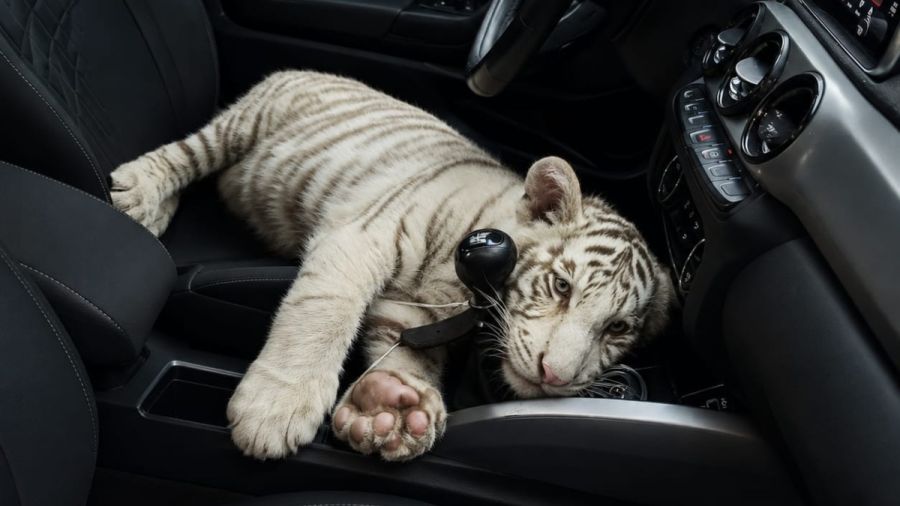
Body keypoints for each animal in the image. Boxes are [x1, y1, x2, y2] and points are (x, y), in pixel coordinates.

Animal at [109, 70, 675, 462]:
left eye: (617, 328)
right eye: (561, 286)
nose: (554, 376)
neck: (463, 288)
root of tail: (313, 69)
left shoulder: (413, 310)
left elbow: (407, 355)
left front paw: (392, 408)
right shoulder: (361, 236)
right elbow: (322, 315)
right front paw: (275, 408)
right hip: (245, 123)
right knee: (187, 153)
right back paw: (138, 194)